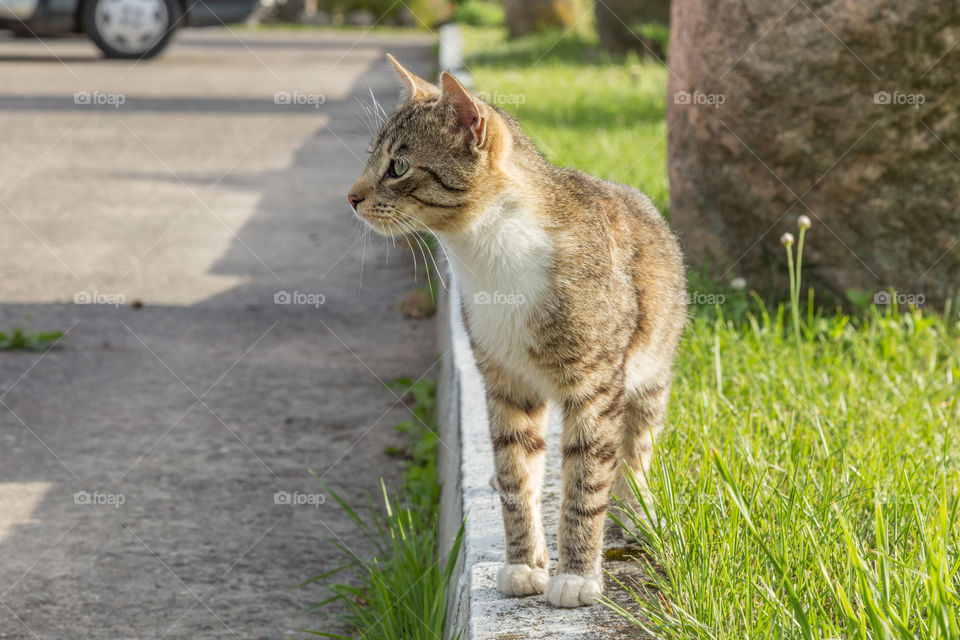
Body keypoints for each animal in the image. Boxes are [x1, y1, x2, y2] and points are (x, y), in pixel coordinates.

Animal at [348, 53, 688, 604]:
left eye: (397, 166)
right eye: (370, 159)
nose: (352, 196)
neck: (485, 254)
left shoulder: (595, 383)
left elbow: (586, 478)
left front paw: (576, 574)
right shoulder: (504, 381)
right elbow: (517, 474)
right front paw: (526, 564)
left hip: (652, 370)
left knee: (636, 447)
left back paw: (635, 513)